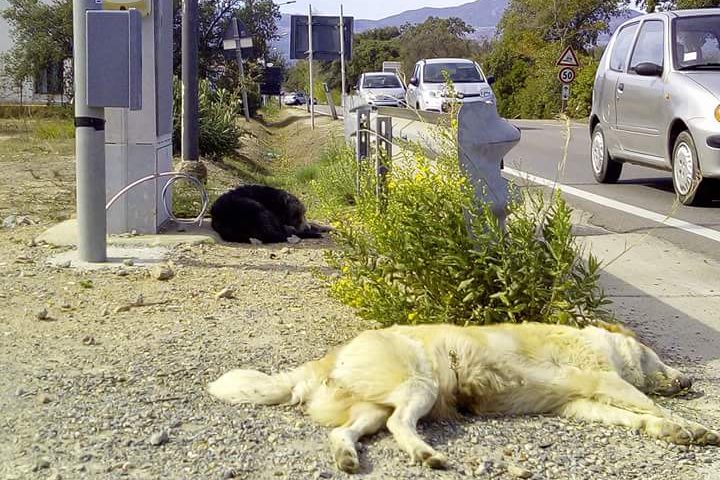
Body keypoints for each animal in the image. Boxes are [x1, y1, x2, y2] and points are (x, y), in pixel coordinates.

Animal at [205, 322, 716, 472]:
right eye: (658, 356)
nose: (691, 381)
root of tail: (327, 359)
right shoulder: (606, 384)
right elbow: (649, 403)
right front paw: (694, 427)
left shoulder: (584, 403)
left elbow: (641, 417)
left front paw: (672, 431)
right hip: (422, 387)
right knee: (400, 426)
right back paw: (426, 455)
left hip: (373, 408)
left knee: (348, 433)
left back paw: (349, 458)